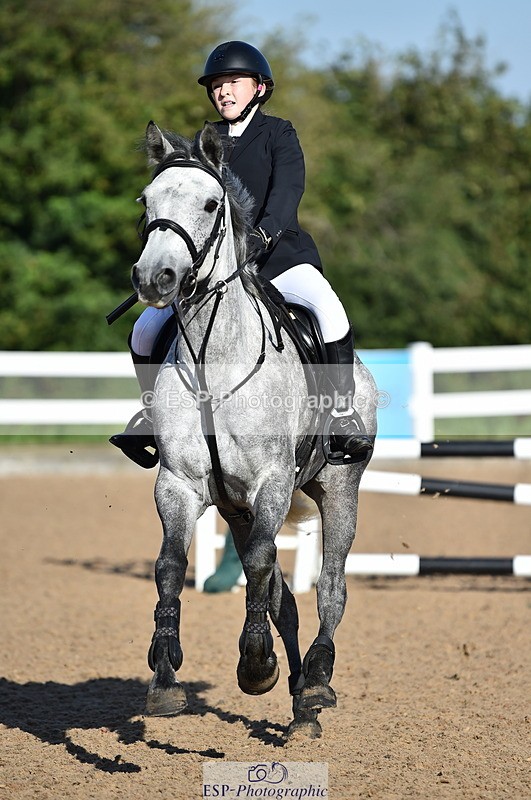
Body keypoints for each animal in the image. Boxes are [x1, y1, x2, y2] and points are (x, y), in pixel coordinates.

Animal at [129, 120, 377, 739]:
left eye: (210, 203)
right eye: (146, 202)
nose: (154, 279)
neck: (215, 361)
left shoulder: (272, 483)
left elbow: (265, 564)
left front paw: (256, 665)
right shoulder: (180, 484)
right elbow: (171, 566)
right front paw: (164, 675)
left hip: (339, 488)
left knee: (331, 588)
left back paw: (316, 681)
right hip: (236, 508)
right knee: (284, 597)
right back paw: (300, 708)